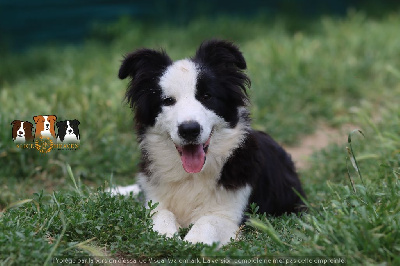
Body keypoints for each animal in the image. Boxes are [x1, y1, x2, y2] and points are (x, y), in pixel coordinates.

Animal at [117, 39, 304, 245]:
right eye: (167, 100)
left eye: (207, 96)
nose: (189, 130)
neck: (191, 177)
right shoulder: (155, 200)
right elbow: (161, 214)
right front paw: (166, 237)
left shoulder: (232, 214)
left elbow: (207, 221)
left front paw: (190, 243)